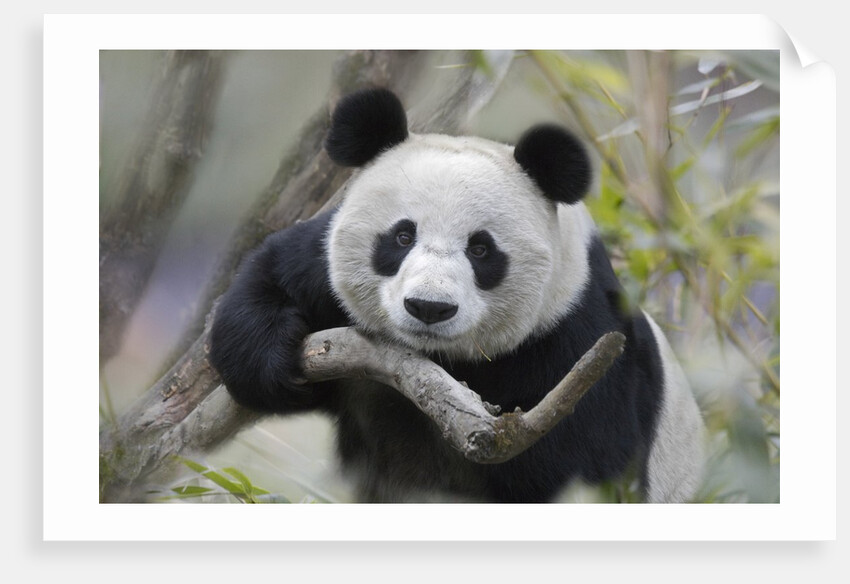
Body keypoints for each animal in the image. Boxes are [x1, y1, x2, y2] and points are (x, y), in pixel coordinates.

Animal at [209, 88, 706, 503]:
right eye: (402, 236)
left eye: (481, 249)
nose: (429, 308)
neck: (448, 361)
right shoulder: (323, 272)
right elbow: (275, 271)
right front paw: (265, 362)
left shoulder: (581, 339)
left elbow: (586, 464)